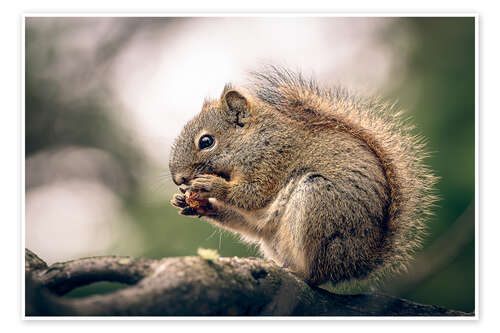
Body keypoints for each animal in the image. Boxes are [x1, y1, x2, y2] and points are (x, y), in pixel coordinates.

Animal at [169, 65, 438, 286]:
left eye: (206, 141)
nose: (178, 179)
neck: (255, 139)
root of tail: (353, 265)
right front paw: (188, 201)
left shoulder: (273, 160)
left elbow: (254, 195)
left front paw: (213, 186)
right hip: (274, 234)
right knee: (255, 227)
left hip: (319, 203)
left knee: (316, 272)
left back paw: (303, 273)